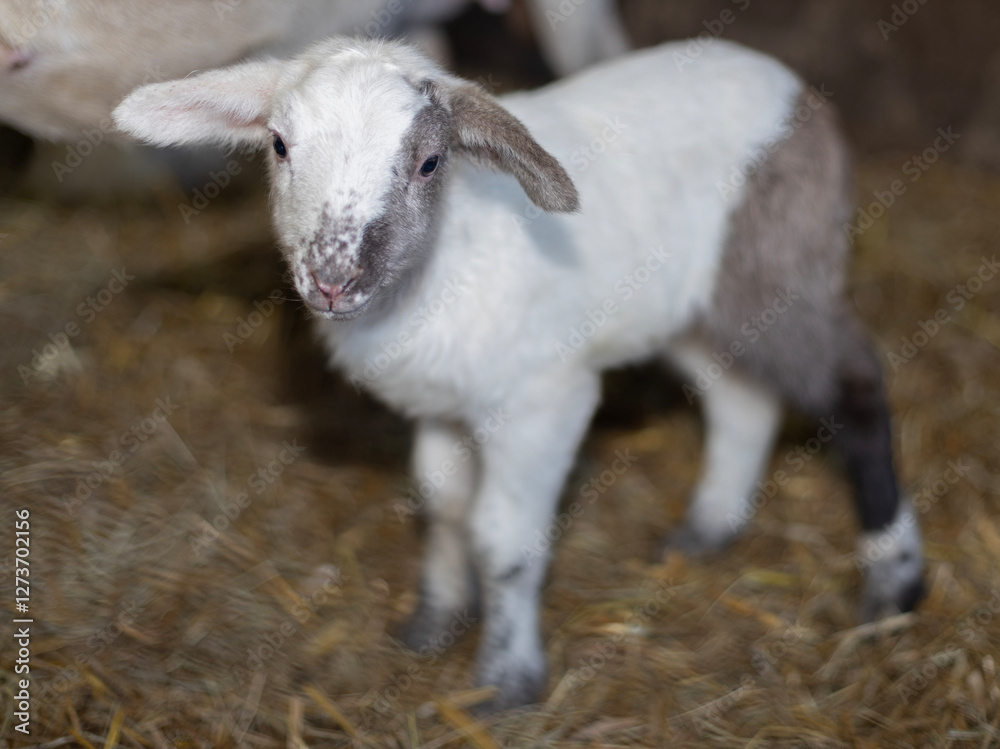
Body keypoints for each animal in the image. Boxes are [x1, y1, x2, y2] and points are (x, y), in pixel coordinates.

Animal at [112, 36, 925, 711]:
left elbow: (502, 539)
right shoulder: (440, 404)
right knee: (741, 399)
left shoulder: (543, 400)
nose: (334, 281)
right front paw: (435, 619)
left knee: (854, 388)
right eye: (280, 145)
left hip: (782, 263)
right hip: (698, 309)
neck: (450, 254)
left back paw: (894, 584)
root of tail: (795, 89)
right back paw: (707, 527)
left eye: (430, 163)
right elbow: (442, 506)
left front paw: (506, 679)